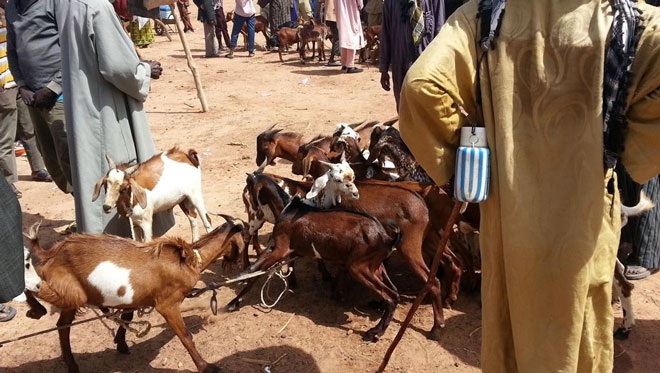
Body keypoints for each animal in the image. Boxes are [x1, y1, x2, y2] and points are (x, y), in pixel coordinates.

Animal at [22, 217, 248, 372]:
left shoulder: (133, 298)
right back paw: (36, 309)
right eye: (244, 239)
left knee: (63, 326)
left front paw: (121, 344)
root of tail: (52, 253)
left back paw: (71, 364)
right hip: (70, 293)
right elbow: (186, 336)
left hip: (70, 297)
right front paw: (206, 366)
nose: (238, 264)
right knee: (33, 287)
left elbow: (128, 316)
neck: (190, 259)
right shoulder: (167, 303)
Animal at [233, 196, 402, 342]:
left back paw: (375, 332)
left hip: (358, 268)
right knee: (394, 291)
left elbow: (258, 273)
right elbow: (256, 268)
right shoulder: (285, 250)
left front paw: (234, 301)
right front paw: (238, 284)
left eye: (254, 198)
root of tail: (387, 239)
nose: (251, 220)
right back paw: (378, 309)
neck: (289, 210)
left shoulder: (280, 249)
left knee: (392, 296)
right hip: (375, 266)